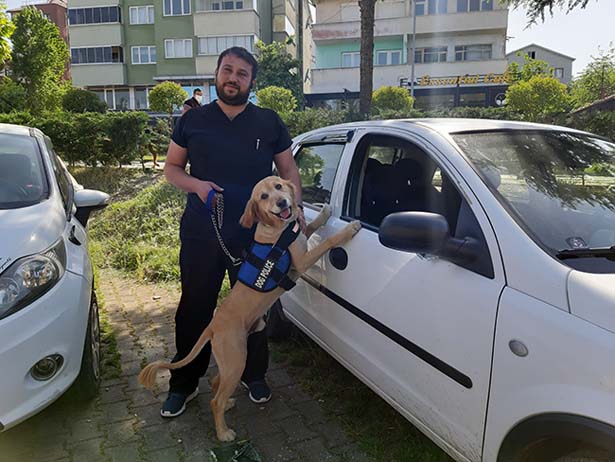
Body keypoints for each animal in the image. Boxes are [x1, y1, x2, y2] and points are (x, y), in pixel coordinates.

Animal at [139, 176, 361, 441]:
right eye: (263, 197)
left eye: (278, 187)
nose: (282, 202)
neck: (277, 230)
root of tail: (212, 326)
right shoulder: (301, 262)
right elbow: (327, 241)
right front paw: (349, 229)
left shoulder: (300, 237)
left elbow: (310, 226)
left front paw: (324, 213)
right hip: (236, 360)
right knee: (214, 400)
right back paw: (224, 432)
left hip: (233, 360)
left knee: (216, 384)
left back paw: (228, 404)